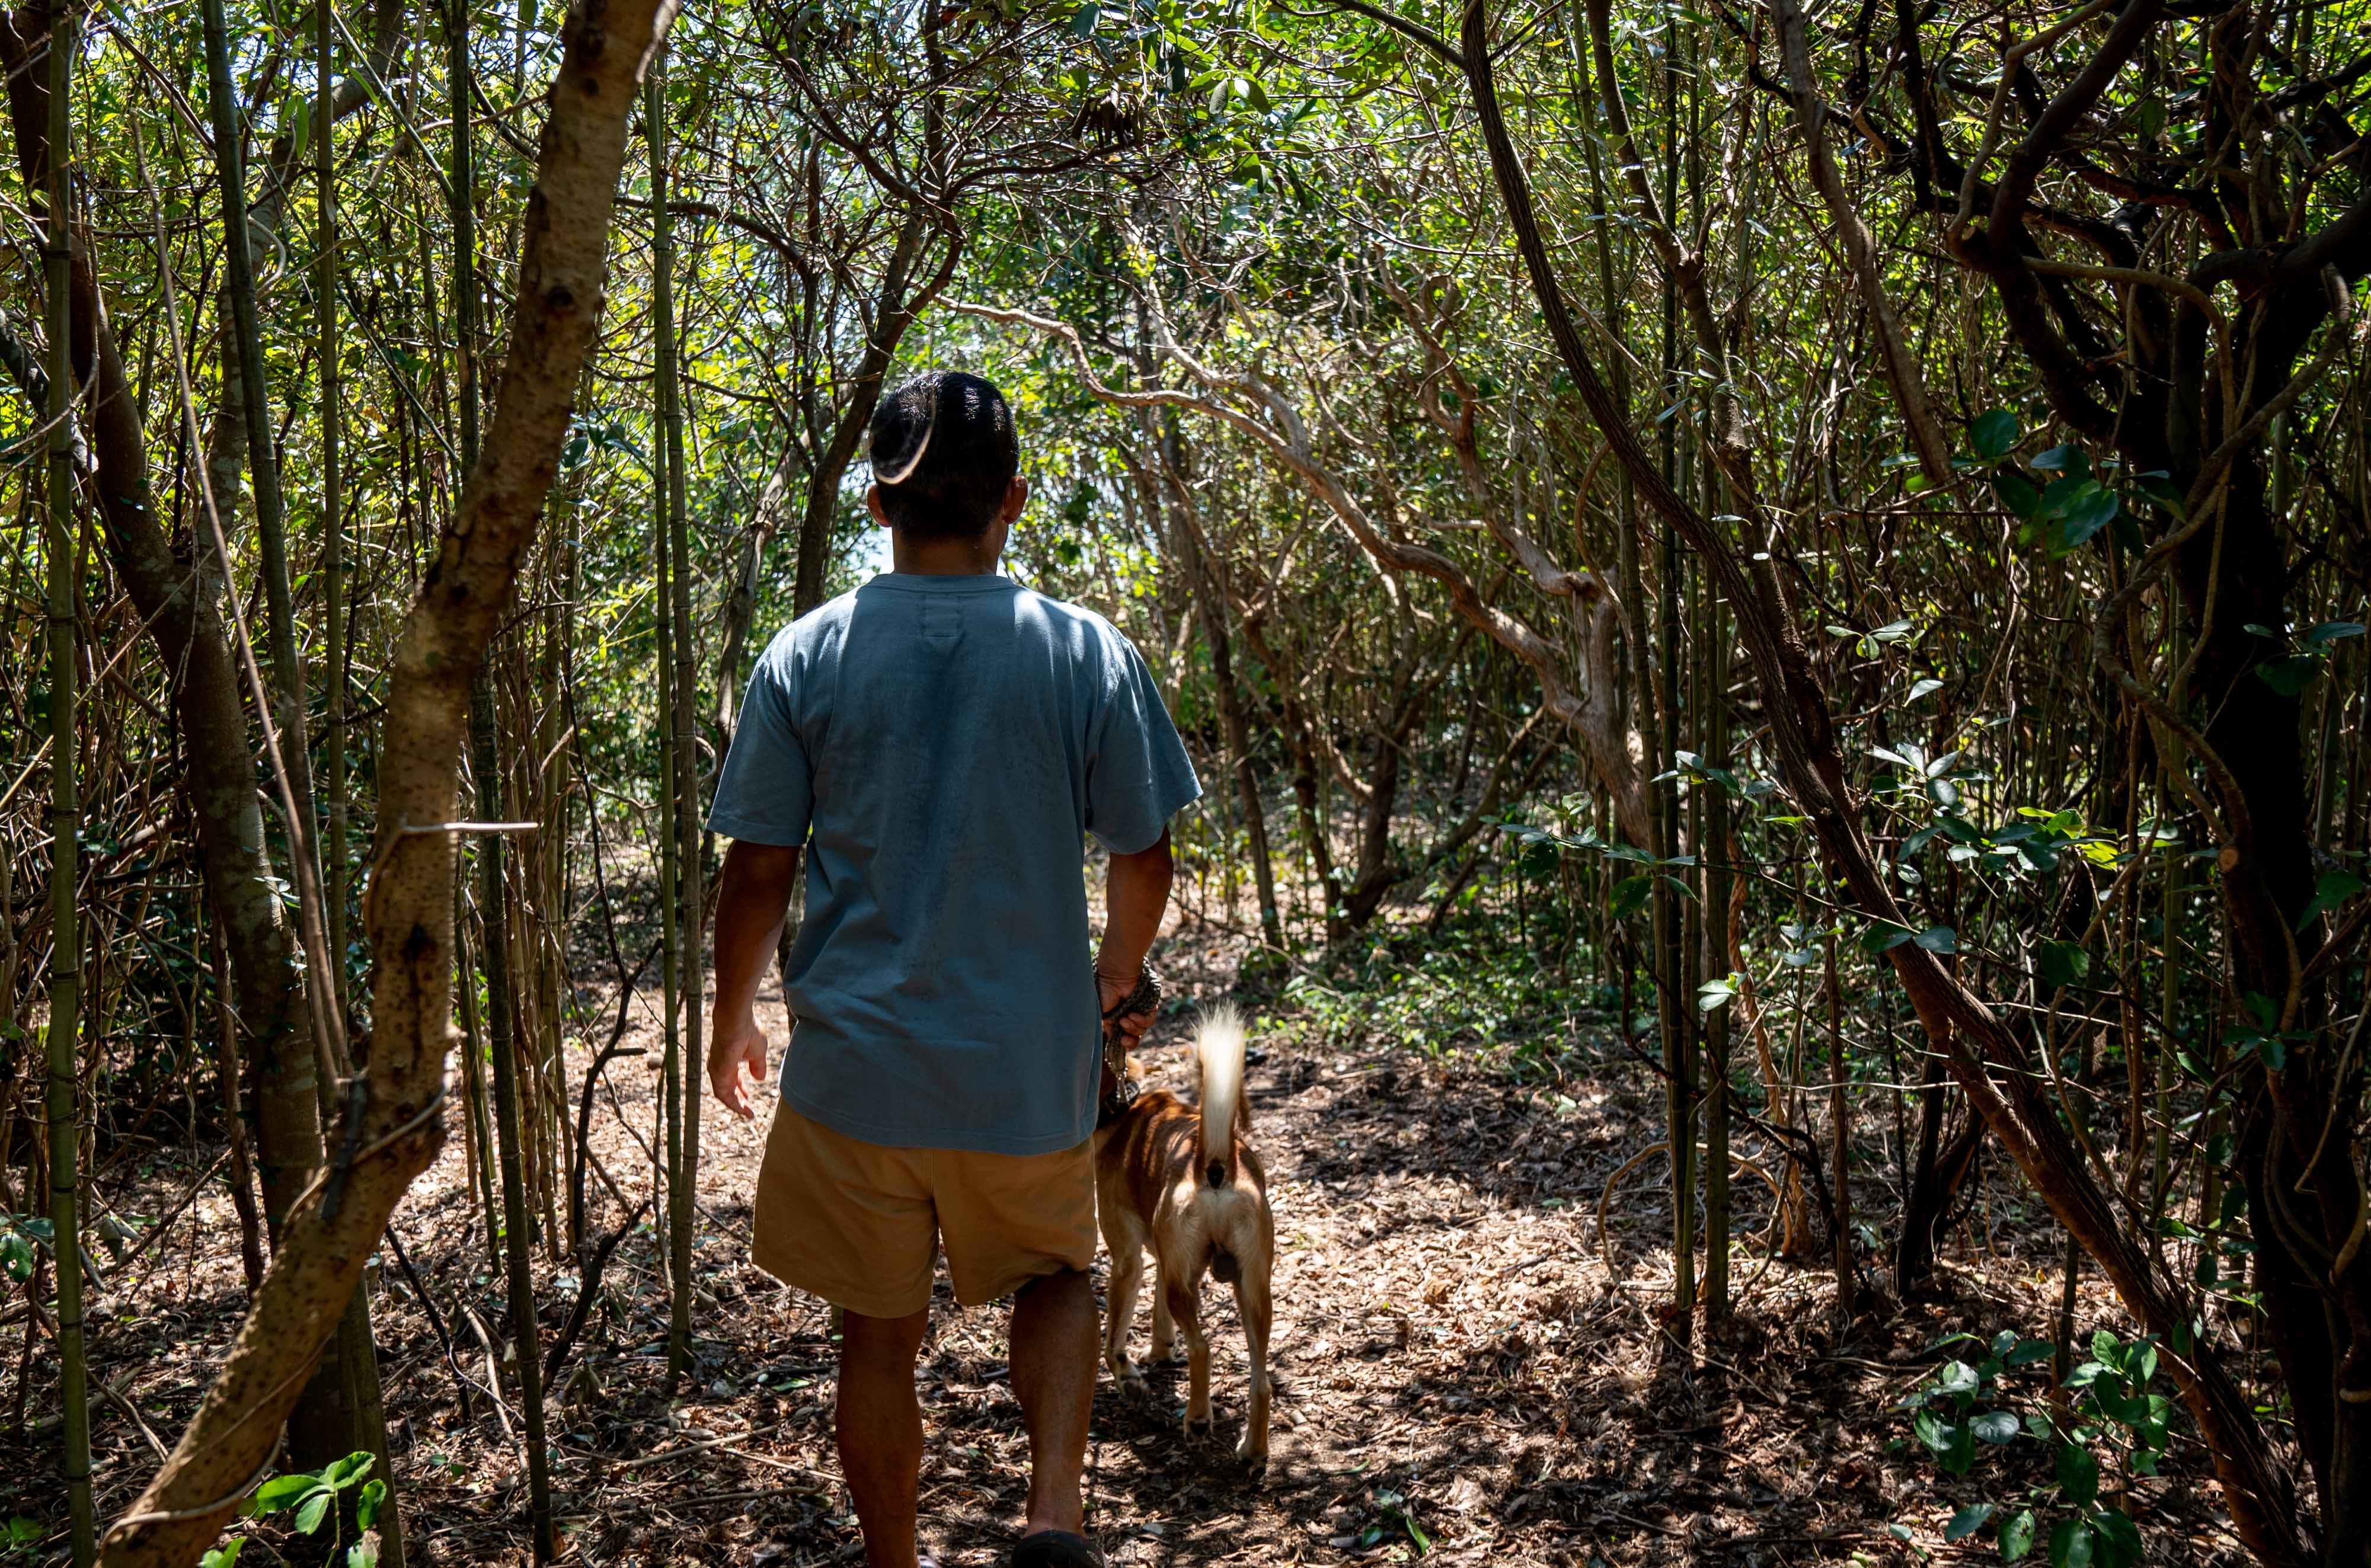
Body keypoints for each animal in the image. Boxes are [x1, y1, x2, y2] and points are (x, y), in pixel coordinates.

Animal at [1095, 1013, 1280, 1468]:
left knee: (1203, 1348)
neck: (1125, 1109)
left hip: (1190, 1287)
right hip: (1251, 1292)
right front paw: (1160, 1352)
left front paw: (1129, 1379)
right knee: (1262, 1383)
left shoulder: (1127, 1262)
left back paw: (1197, 1419)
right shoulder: (1168, 1261)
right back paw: (1253, 1450)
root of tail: (1213, 1166)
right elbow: (1159, 1316)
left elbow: (1113, 1340)